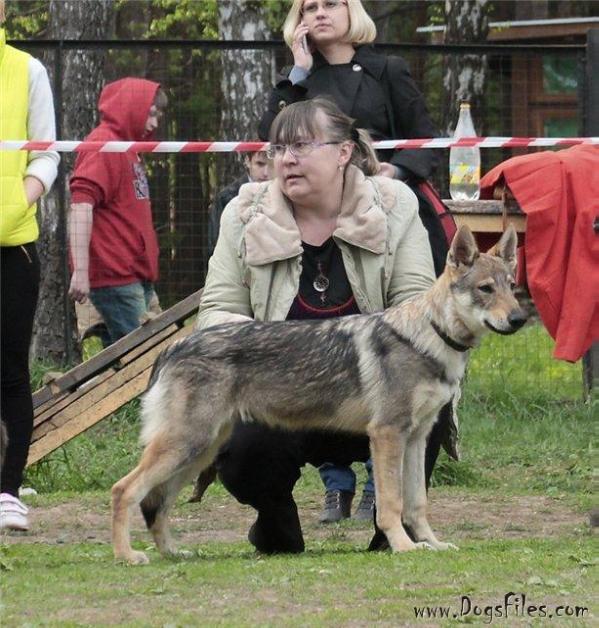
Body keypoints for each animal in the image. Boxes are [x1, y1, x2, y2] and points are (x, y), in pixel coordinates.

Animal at [111, 224, 524, 564]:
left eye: (511, 286)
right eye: (486, 289)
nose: (519, 318)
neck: (431, 336)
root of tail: (174, 347)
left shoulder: (417, 438)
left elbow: (417, 504)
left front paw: (432, 544)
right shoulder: (388, 435)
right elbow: (391, 504)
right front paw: (404, 547)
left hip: (198, 452)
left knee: (158, 503)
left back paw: (173, 552)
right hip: (186, 446)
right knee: (125, 490)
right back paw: (128, 556)